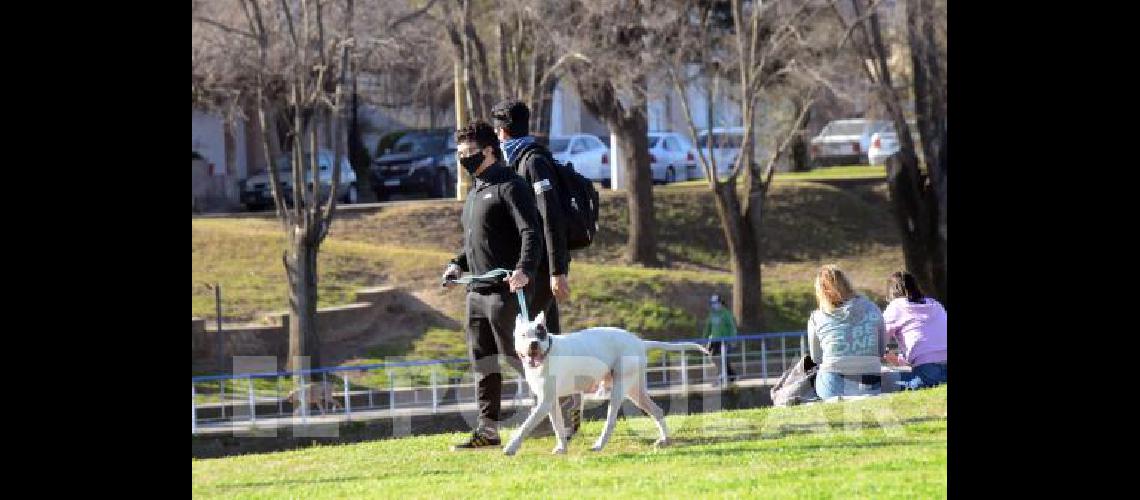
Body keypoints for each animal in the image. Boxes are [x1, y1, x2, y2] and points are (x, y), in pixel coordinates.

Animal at [503, 314, 706, 457]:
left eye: (540, 334)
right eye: (523, 335)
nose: (534, 344)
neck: (547, 355)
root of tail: (640, 341)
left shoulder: (544, 402)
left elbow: (526, 425)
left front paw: (511, 447)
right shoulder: (550, 402)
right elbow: (557, 426)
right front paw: (561, 447)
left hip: (619, 388)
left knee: (611, 420)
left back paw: (599, 444)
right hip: (636, 390)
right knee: (657, 410)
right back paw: (664, 440)